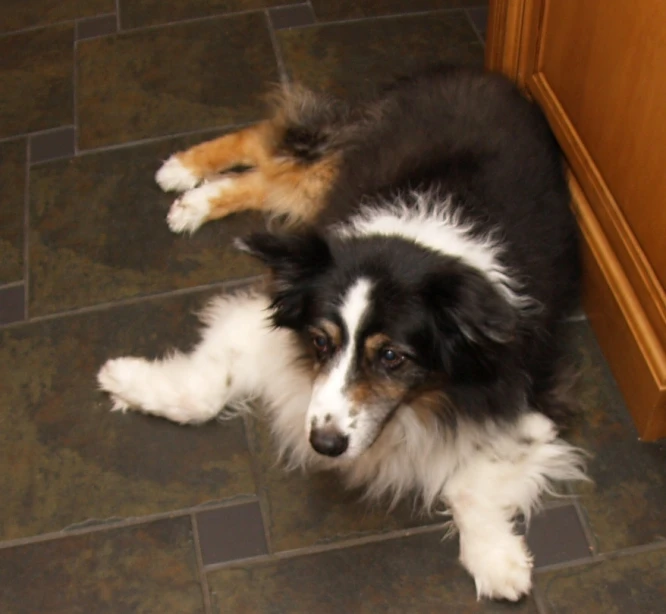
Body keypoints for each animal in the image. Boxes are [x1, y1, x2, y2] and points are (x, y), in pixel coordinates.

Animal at [96, 66, 584, 600]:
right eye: (320, 342)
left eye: (392, 357)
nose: (325, 445)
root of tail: (484, 74)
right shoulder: (270, 324)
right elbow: (203, 392)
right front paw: (124, 379)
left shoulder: (532, 395)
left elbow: (468, 483)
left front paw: (497, 561)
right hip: (342, 159)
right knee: (274, 146)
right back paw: (184, 173)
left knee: (274, 171)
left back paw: (194, 196)